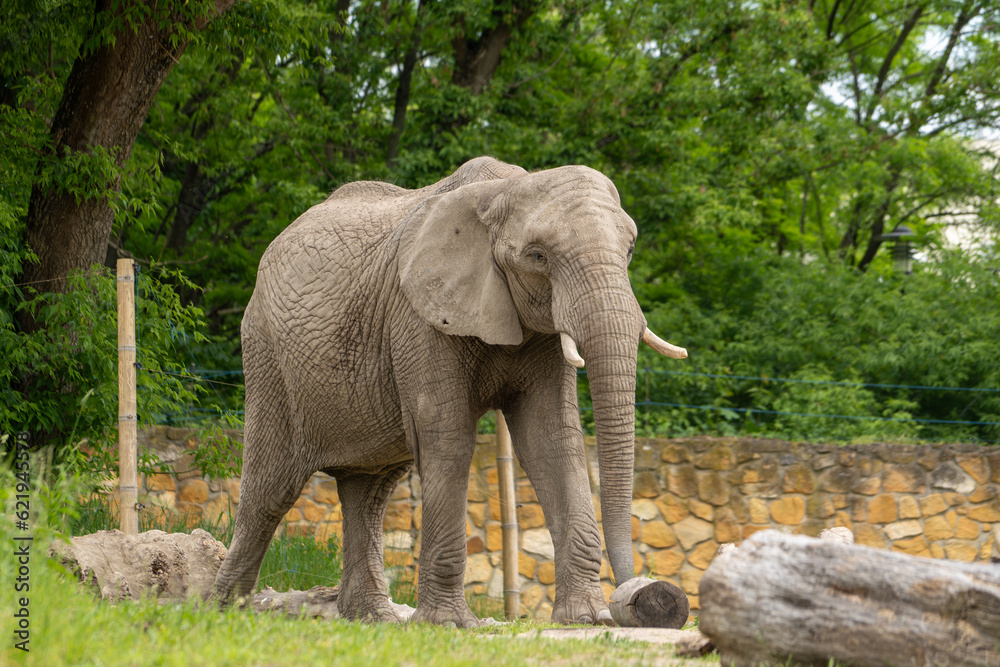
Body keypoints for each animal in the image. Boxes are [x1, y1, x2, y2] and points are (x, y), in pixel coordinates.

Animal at [211, 156, 686, 627]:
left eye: (630, 250)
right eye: (538, 256)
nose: (646, 594)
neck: (504, 191)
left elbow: (552, 440)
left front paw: (586, 619)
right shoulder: (418, 315)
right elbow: (448, 437)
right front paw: (449, 624)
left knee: (369, 491)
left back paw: (372, 618)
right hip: (267, 354)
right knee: (270, 488)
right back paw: (223, 609)